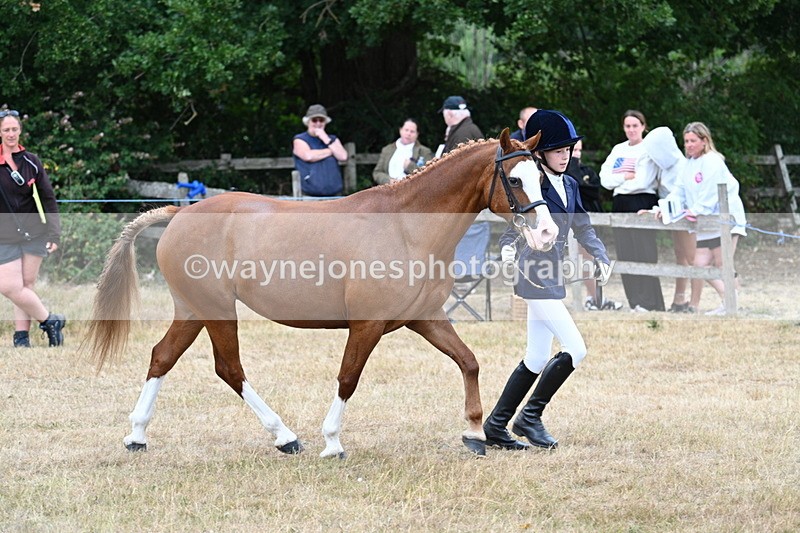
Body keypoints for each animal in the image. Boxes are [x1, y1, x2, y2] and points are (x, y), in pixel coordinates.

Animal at [85, 129, 558, 458]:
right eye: (514, 179)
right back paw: (285, 437)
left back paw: (137, 436)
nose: (548, 234)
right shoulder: (367, 325)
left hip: (192, 310)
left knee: (161, 357)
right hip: (215, 310)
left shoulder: (425, 318)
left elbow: (468, 361)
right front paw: (332, 442)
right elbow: (348, 378)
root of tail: (179, 214)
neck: (406, 226)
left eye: (542, 177)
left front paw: (474, 433)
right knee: (229, 369)